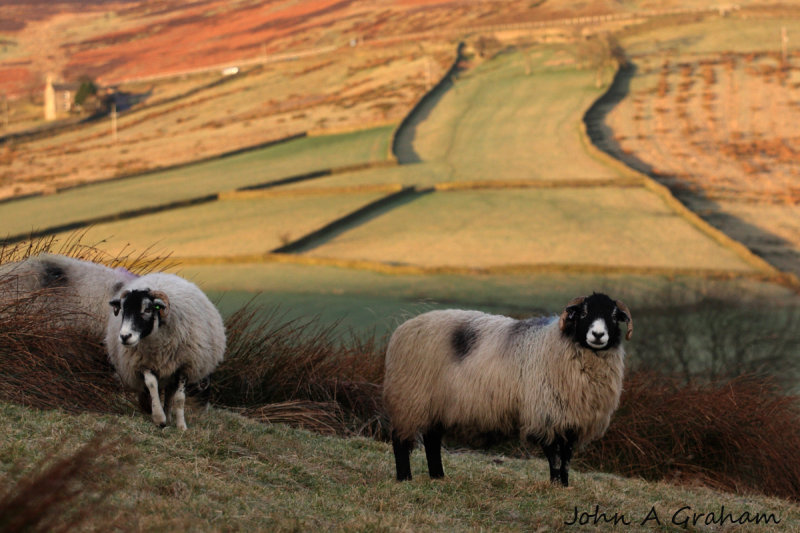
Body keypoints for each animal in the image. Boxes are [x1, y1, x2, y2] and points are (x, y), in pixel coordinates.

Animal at [105, 272, 225, 430]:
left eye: (147, 309)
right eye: (123, 310)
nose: (125, 336)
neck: (157, 345)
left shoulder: (184, 365)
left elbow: (179, 398)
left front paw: (181, 426)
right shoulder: (143, 364)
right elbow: (152, 386)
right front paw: (159, 418)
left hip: (172, 372)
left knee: (170, 396)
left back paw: (170, 416)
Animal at [382, 294, 632, 484]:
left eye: (613, 316)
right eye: (583, 313)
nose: (598, 335)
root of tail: (403, 327)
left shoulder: (572, 422)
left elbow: (567, 459)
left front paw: (565, 486)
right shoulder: (546, 415)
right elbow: (554, 458)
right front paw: (554, 485)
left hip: (436, 403)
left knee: (432, 440)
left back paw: (438, 476)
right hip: (410, 397)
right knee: (400, 440)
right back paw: (405, 478)